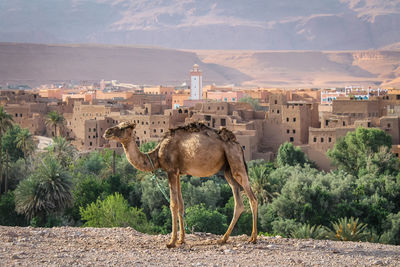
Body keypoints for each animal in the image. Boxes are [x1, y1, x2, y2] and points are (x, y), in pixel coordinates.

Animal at [104, 122, 260, 249]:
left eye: (123, 127)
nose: (107, 132)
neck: (157, 155)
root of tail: (238, 145)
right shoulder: (178, 172)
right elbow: (181, 204)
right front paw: (181, 240)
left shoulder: (171, 170)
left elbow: (173, 204)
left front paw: (171, 242)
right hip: (227, 169)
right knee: (238, 202)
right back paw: (223, 239)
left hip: (236, 161)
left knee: (253, 198)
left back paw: (253, 238)